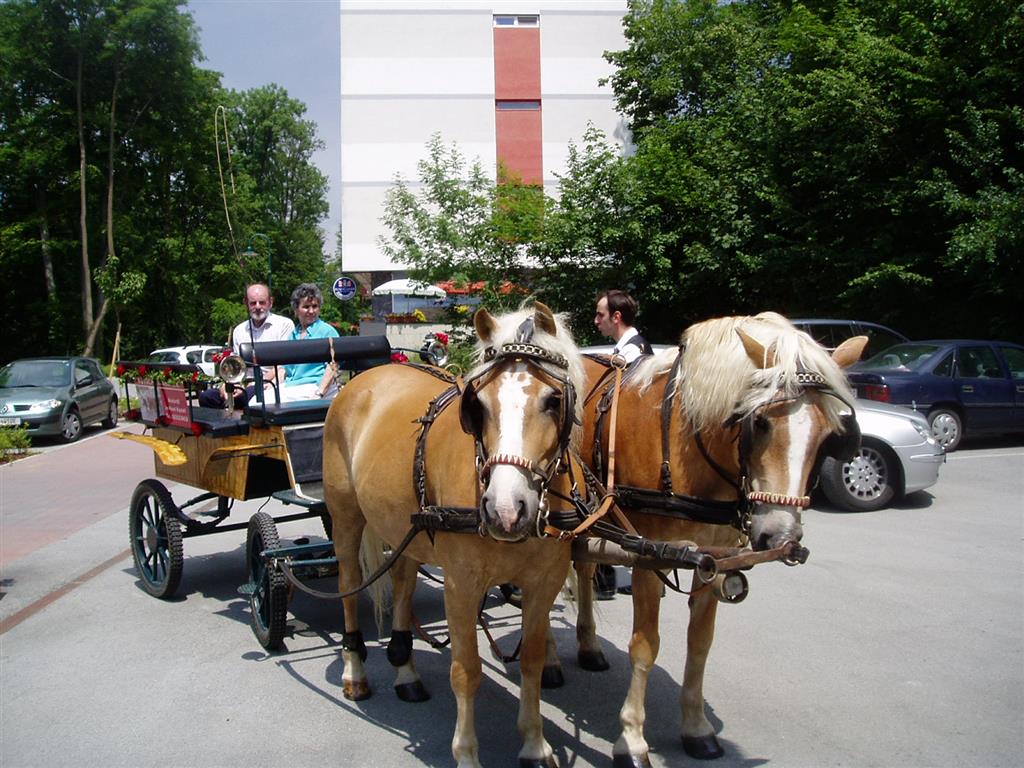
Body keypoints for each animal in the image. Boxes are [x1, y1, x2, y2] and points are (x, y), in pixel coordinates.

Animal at [323, 303, 589, 768]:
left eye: (554, 400)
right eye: (478, 404)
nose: (506, 510)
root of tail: (364, 377)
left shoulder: (545, 583)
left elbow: (532, 661)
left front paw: (534, 744)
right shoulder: (461, 584)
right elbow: (466, 671)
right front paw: (466, 754)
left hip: (406, 527)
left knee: (403, 583)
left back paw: (405, 671)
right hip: (346, 517)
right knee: (350, 585)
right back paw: (355, 671)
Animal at [577, 313, 864, 768]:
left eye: (827, 432)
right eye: (759, 422)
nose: (780, 535)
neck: (683, 442)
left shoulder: (713, 560)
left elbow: (700, 644)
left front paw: (696, 729)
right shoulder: (647, 555)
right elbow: (645, 646)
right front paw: (632, 739)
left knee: (583, 570)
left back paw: (587, 647)